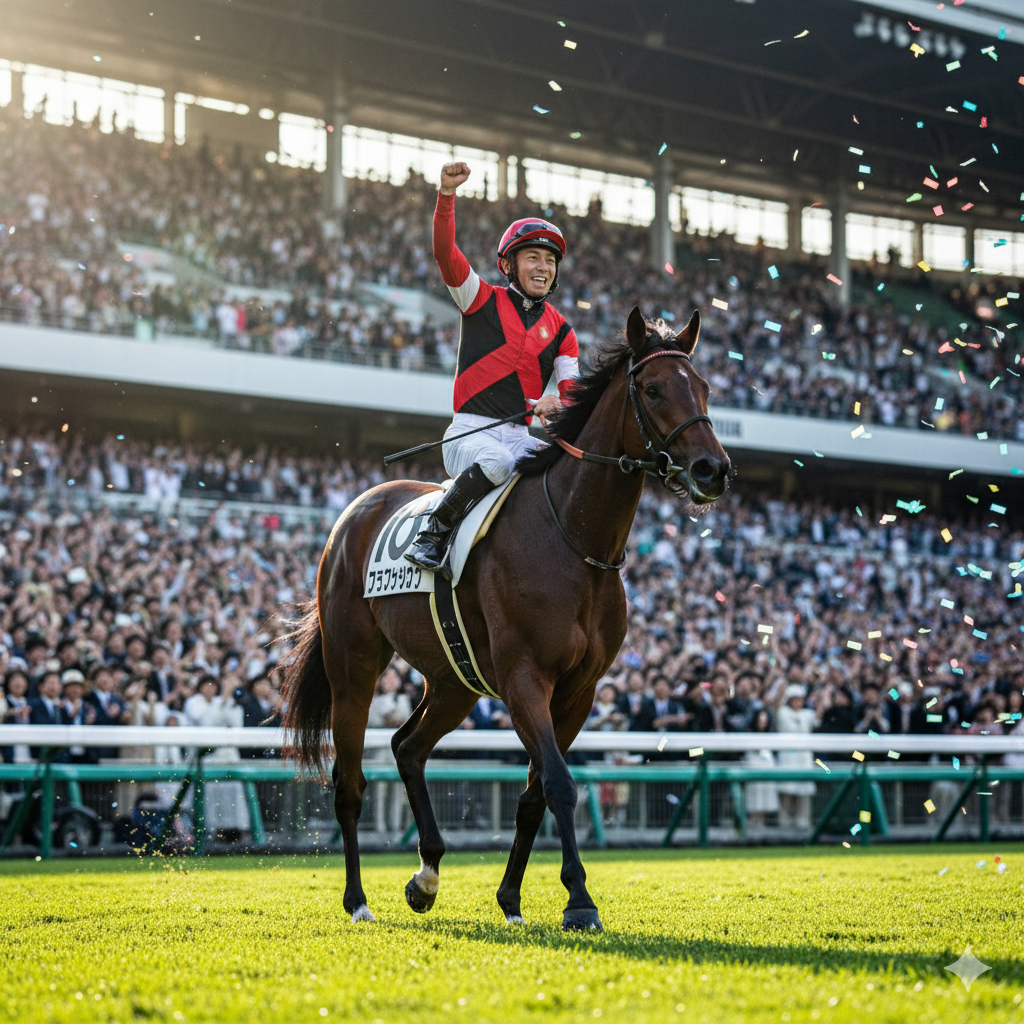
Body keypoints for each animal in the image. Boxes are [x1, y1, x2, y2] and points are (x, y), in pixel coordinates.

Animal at [282, 305, 731, 930]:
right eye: (653, 388)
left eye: (704, 387)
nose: (713, 469)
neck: (575, 540)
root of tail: (353, 513)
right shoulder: (525, 679)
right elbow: (561, 785)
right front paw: (580, 899)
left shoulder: (578, 693)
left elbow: (535, 794)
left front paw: (511, 899)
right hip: (354, 667)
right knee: (349, 782)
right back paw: (357, 900)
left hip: (455, 681)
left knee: (408, 747)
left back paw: (426, 875)